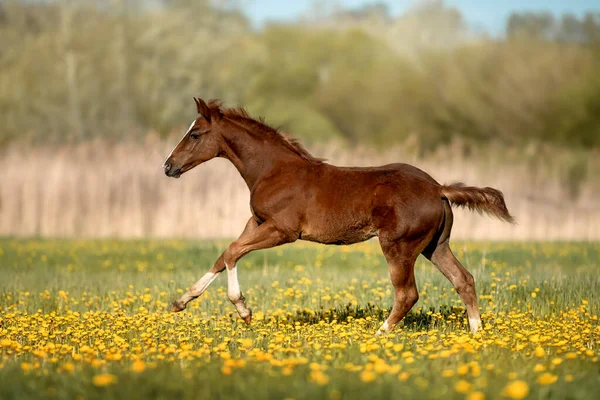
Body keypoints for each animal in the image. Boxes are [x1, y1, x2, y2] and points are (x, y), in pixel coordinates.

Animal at [164, 99, 516, 334]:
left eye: (195, 134)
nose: (168, 167)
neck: (273, 170)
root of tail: (438, 188)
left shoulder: (283, 230)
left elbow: (233, 252)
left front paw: (244, 310)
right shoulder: (258, 222)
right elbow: (224, 253)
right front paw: (182, 301)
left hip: (398, 245)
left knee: (408, 293)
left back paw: (380, 333)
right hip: (435, 245)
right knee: (463, 279)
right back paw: (476, 332)